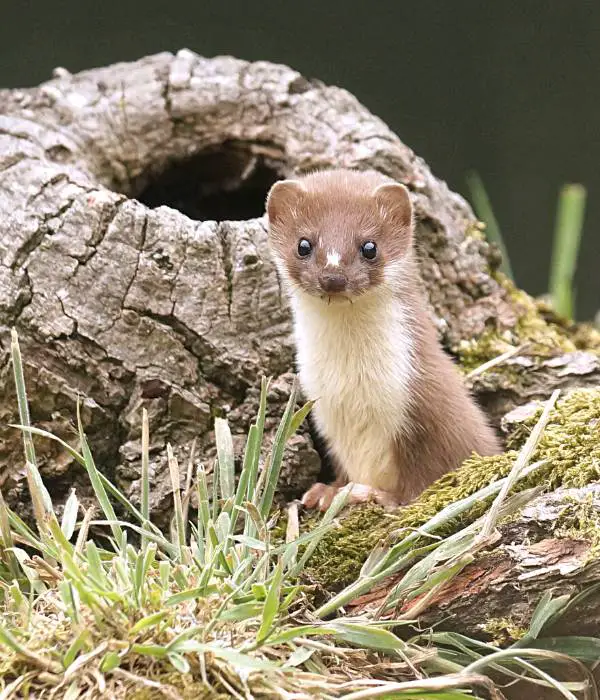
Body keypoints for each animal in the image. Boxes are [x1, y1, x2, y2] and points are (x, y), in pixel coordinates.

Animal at [268, 168, 502, 508]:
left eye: (369, 246)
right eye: (303, 244)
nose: (333, 277)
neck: (351, 383)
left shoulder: (428, 403)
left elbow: (426, 473)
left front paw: (378, 495)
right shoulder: (326, 414)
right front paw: (328, 492)